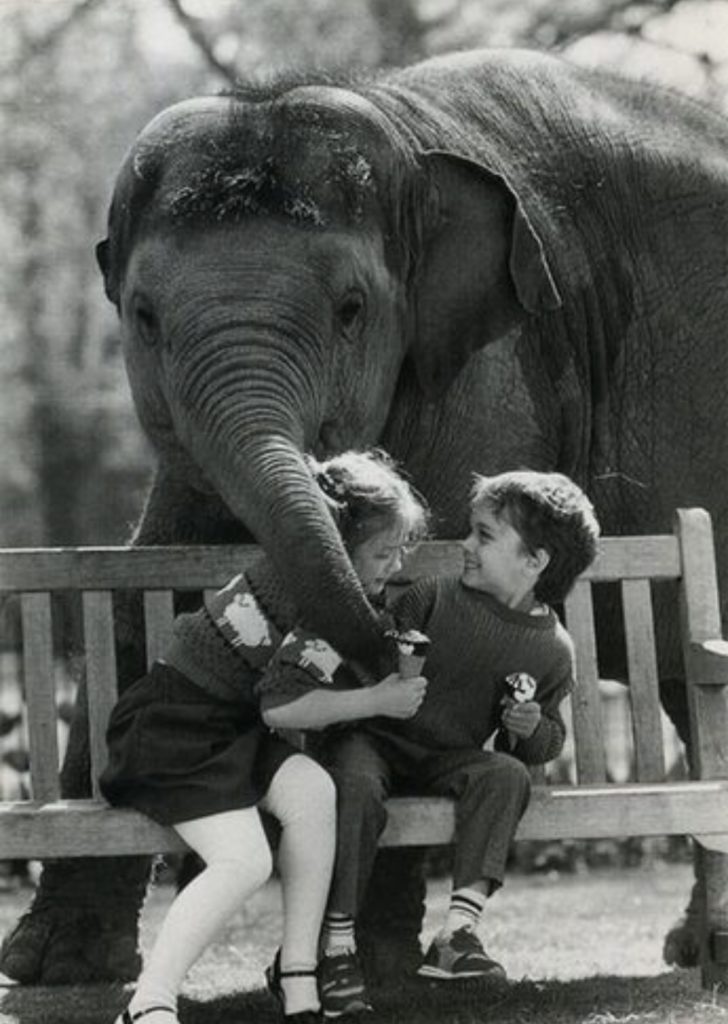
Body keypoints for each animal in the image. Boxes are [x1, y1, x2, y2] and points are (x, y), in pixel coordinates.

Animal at [1, 46, 728, 983]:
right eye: (143, 315)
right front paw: (53, 966)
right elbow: (135, 604)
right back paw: (691, 948)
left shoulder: (493, 371)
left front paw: (380, 959)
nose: (342, 486)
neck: (400, 126)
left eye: (352, 310)